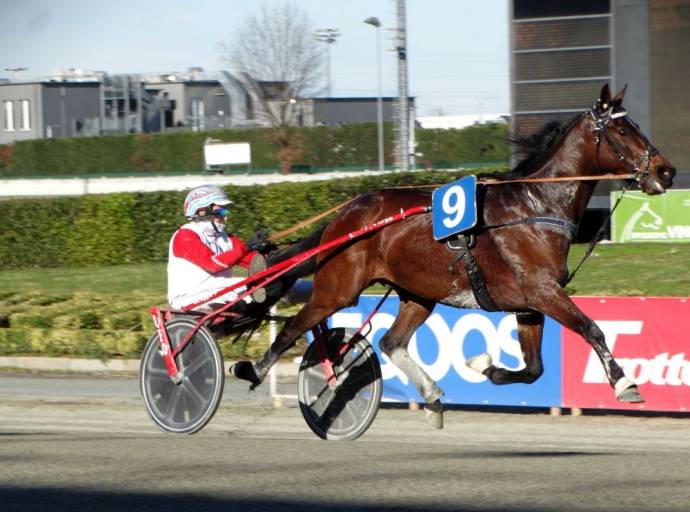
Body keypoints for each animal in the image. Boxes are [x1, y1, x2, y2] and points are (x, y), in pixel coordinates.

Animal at [234, 84, 676, 426]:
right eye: (622, 128)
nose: (666, 170)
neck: (536, 206)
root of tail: (345, 215)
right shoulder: (543, 292)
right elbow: (592, 328)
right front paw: (625, 383)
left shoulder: (529, 304)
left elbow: (534, 369)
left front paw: (483, 365)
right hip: (338, 288)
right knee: (295, 326)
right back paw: (252, 368)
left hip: (417, 293)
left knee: (392, 342)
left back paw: (430, 394)